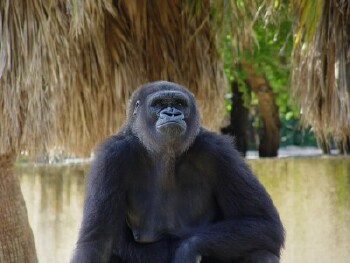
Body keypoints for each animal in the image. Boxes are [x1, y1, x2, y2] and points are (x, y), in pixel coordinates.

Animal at [71, 81, 284, 262]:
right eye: (158, 104)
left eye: (180, 103)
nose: (172, 113)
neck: (165, 155)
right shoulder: (112, 156)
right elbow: (97, 242)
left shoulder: (218, 151)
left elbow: (263, 221)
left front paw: (187, 250)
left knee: (261, 252)